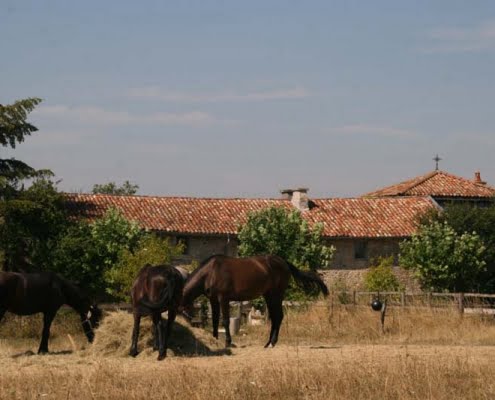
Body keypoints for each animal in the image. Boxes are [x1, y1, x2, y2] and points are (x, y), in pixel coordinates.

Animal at [182, 256, 330, 346]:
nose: (189, 320)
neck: (212, 271)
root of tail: (283, 262)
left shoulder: (223, 298)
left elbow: (225, 320)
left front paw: (228, 342)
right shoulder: (213, 299)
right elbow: (214, 320)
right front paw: (215, 339)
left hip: (276, 295)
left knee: (278, 316)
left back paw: (272, 342)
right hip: (269, 296)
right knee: (275, 317)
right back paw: (268, 343)